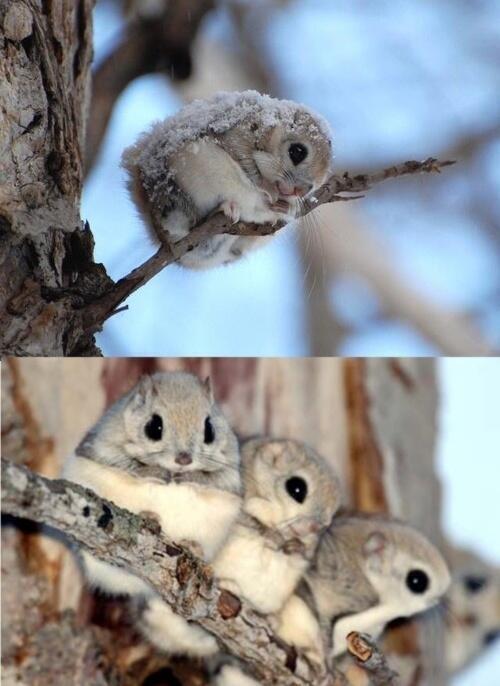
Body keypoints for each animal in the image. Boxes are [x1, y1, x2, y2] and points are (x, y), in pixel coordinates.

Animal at [122, 90, 333, 269]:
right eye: (297, 152)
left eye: (313, 186)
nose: (298, 191)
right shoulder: (237, 134)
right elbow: (247, 165)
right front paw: (268, 190)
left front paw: (288, 207)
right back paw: (225, 208)